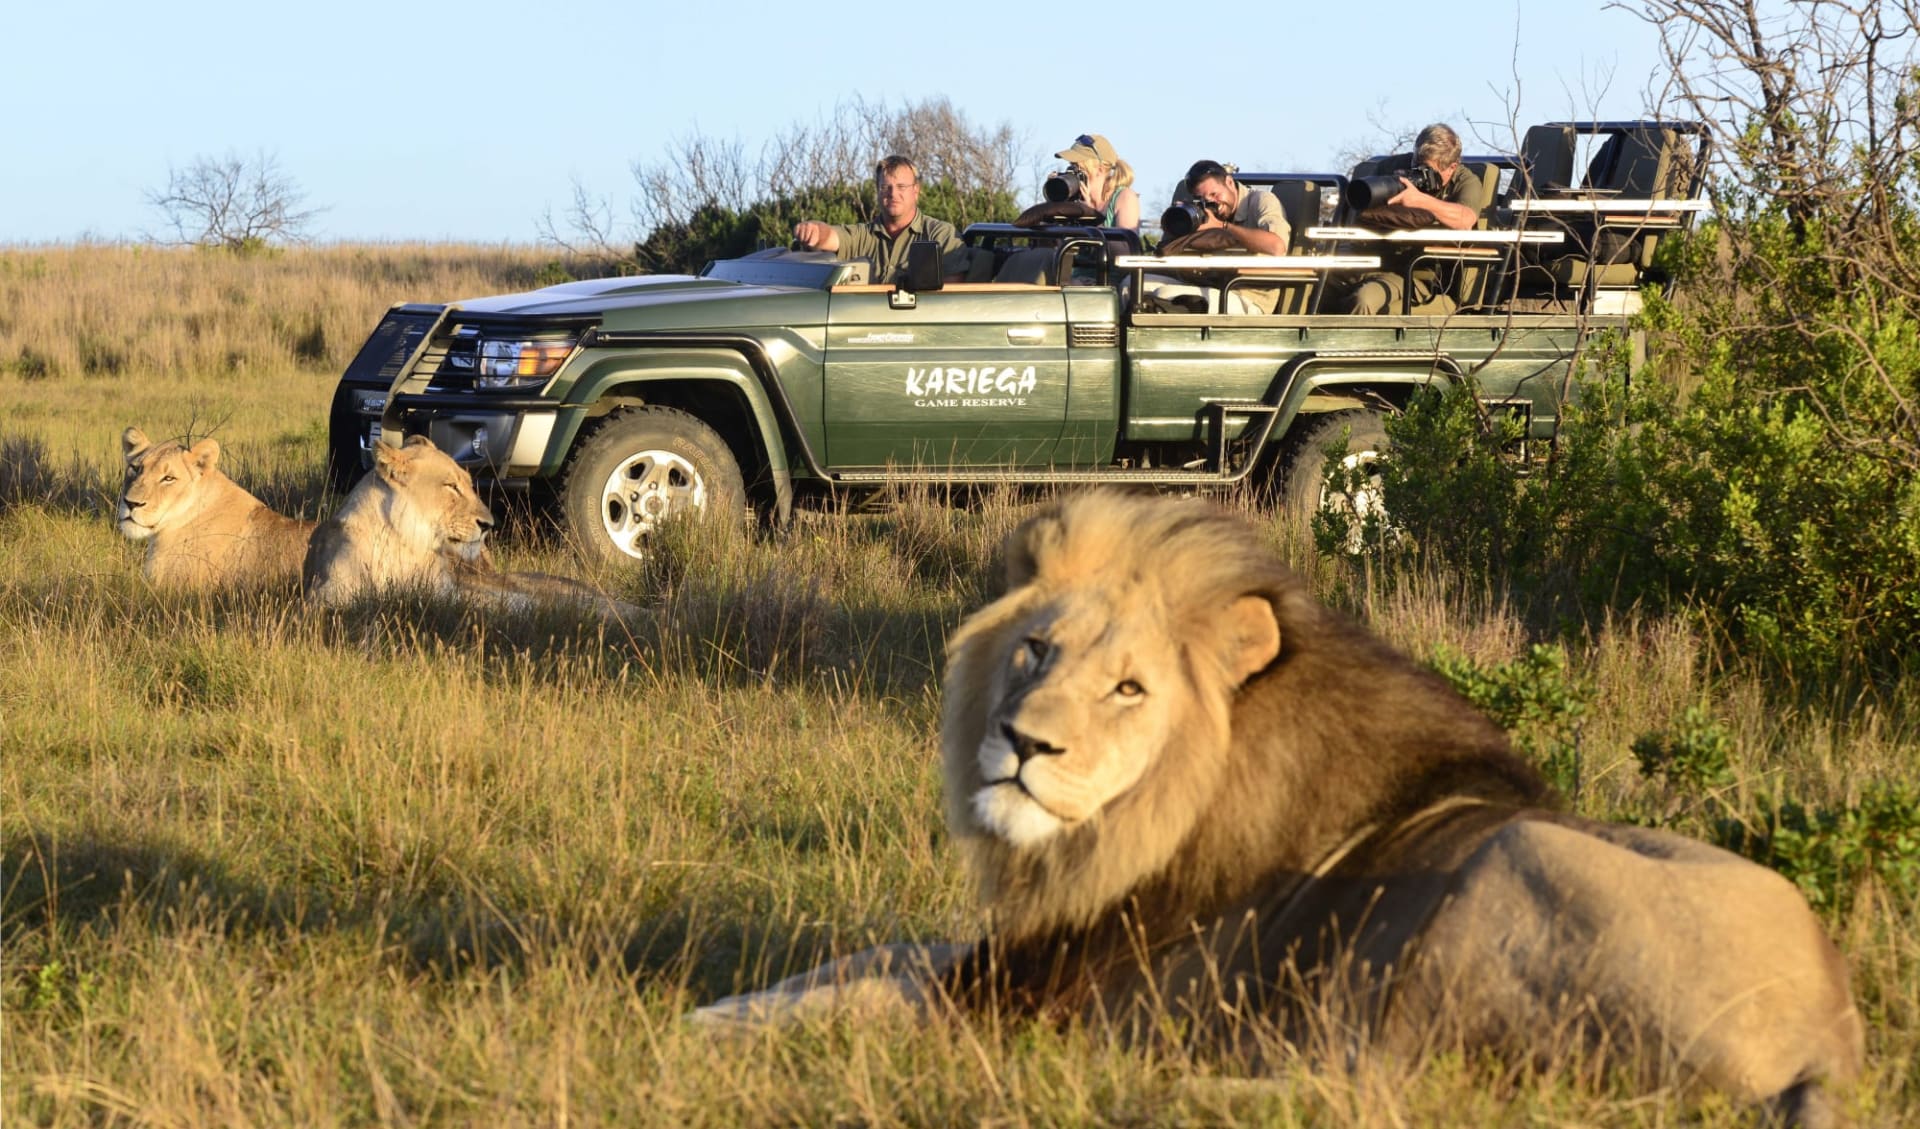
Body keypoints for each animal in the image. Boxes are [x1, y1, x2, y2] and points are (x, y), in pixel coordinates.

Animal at [303, 433, 641, 622]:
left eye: (468, 483)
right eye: (451, 486)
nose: (489, 524)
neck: (406, 544)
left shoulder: (451, 591)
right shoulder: (326, 596)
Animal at [706, 489, 1858, 1121]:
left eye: (1130, 689)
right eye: (1035, 648)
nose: (1024, 742)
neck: (1117, 838)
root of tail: (1831, 1040)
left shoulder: (1052, 994)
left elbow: (871, 992)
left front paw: (701, 1024)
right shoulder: (1016, 951)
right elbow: (868, 956)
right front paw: (727, 1001)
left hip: (1498, 886)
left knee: (1380, 1093)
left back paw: (1164, 1093)